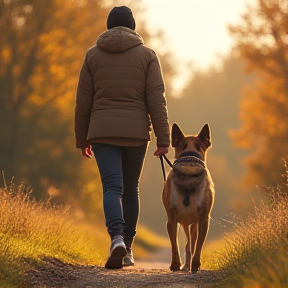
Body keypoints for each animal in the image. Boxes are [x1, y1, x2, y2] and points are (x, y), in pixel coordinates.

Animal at [162, 122, 214, 274]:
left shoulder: (203, 219)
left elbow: (198, 246)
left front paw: (195, 265)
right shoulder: (171, 219)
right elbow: (175, 245)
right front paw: (175, 265)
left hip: (194, 223)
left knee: (191, 243)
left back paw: (188, 265)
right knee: (188, 244)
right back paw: (185, 266)